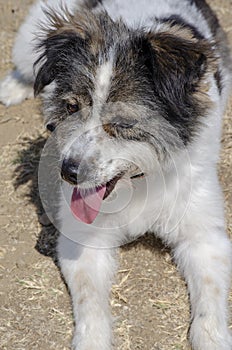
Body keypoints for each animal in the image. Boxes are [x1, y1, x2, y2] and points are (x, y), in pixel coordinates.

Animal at [0, 0, 232, 350]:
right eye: (71, 107)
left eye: (123, 124)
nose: (68, 172)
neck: (139, 180)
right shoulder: (83, 241)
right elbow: (91, 303)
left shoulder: (205, 236)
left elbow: (210, 301)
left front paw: (213, 339)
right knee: (27, 65)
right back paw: (13, 86)